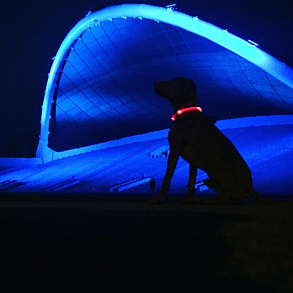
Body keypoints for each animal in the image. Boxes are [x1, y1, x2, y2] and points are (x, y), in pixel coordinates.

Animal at [149, 76, 270, 204]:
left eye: (172, 82)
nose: (154, 83)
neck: (187, 111)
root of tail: (250, 187)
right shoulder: (193, 160)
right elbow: (191, 182)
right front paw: (187, 198)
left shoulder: (174, 150)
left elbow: (167, 177)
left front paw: (159, 198)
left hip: (213, 165)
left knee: (228, 198)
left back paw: (207, 200)